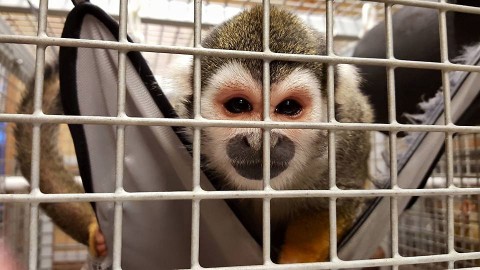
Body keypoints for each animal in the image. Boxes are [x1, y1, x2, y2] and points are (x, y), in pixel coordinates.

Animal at [14, 5, 372, 264]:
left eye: (288, 108)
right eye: (239, 105)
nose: (260, 140)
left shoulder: (350, 138)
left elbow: (342, 198)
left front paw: (298, 260)